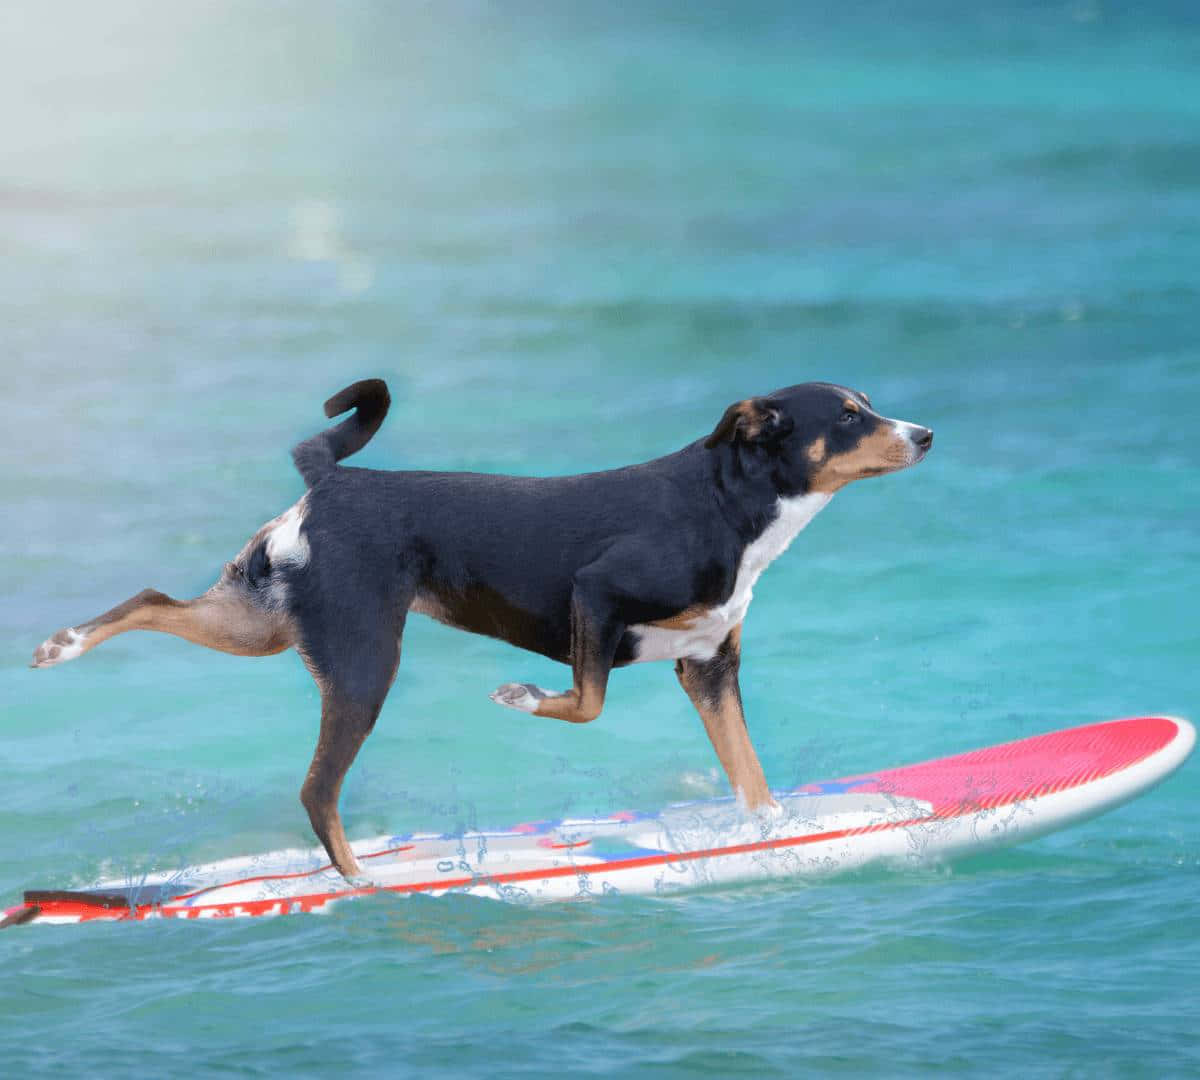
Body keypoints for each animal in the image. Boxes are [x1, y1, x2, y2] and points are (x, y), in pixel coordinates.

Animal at [25, 379, 926, 878]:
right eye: (849, 416)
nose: (924, 432)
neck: (727, 506)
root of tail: (335, 482)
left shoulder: (708, 669)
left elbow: (752, 780)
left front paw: (777, 838)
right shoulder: (597, 594)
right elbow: (586, 702)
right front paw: (521, 695)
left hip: (263, 621)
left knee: (150, 599)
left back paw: (59, 646)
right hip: (363, 662)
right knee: (318, 790)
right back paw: (361, 884)